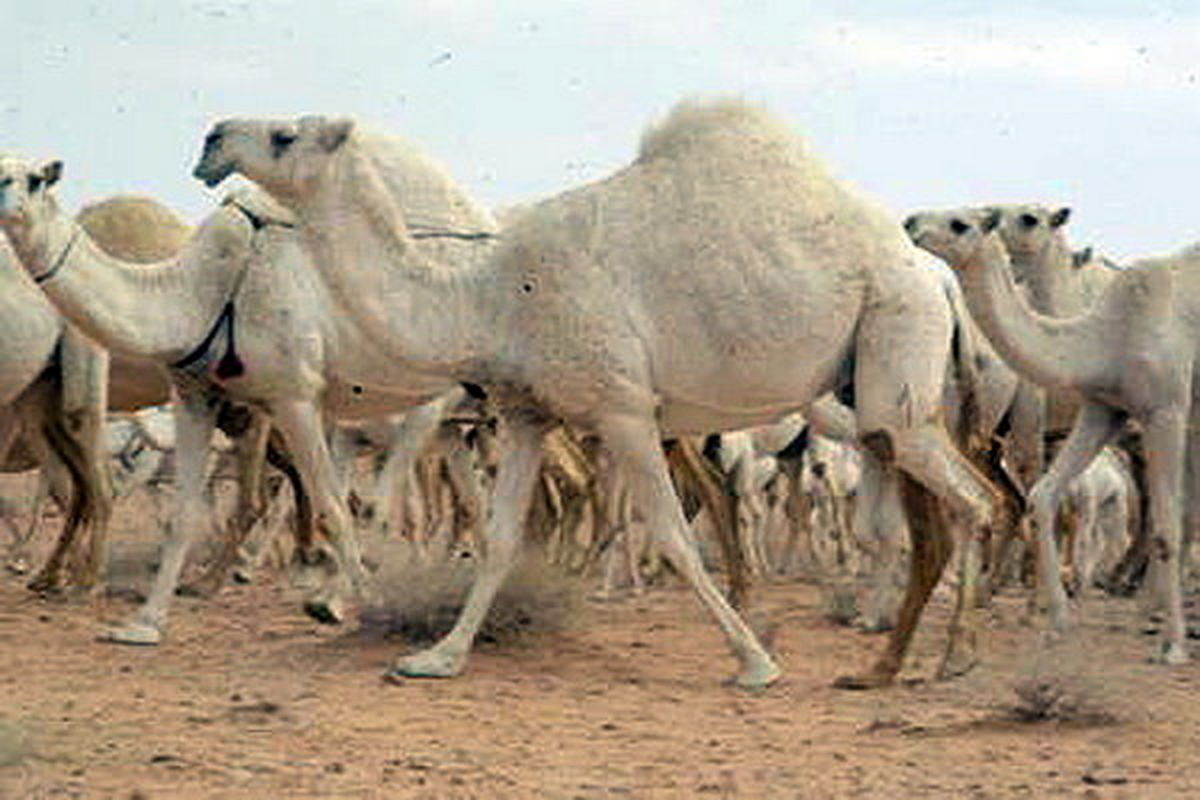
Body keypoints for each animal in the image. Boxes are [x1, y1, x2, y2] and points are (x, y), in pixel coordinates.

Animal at [189, 100, 1012, 690]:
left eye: (285, 135)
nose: (212, 139)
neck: (487, 297)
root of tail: (935, 278)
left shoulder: (621, 406)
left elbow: (674, 533)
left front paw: (754, 664)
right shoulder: (525, 410)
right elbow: (498, 538)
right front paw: (436, 658)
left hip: (896, 340)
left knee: (974, 500)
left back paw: (954, 657)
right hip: (879, 392)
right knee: (947, 508)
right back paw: (906, 663)